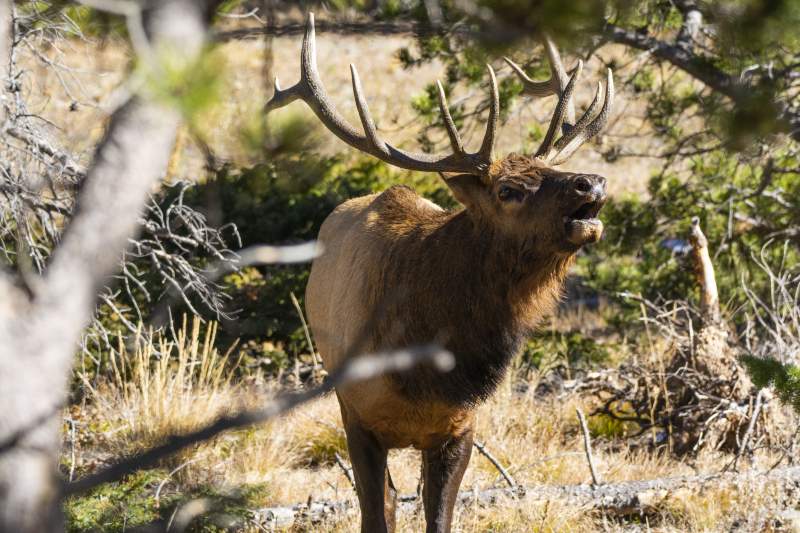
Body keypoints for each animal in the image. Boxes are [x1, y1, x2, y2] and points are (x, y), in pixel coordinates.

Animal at [266, 13, 616, 532]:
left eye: (552, 168)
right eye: (508, 190)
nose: (590, 182)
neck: (425, 369)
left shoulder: (460, 428)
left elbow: (439, 519)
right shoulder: (358, 416)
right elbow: (376, 513)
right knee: (387, 501)